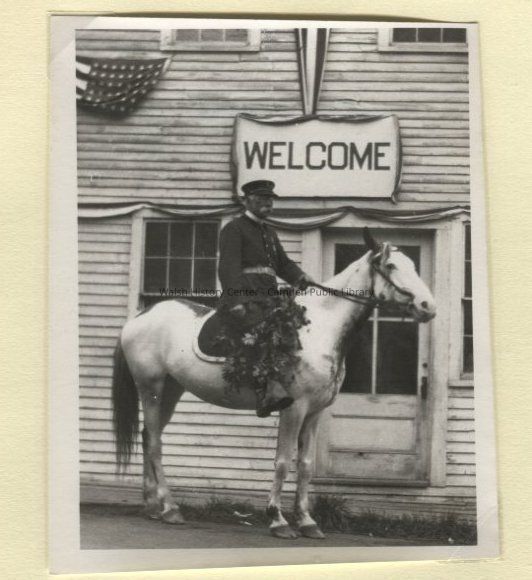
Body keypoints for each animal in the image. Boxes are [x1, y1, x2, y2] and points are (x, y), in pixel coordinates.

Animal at [111, 228, 436, 539]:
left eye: (413, 265)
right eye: (391, 265)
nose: (428, 306)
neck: (317, 328)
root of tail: (139, 318)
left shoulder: (315, 412)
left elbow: (305, 465)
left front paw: (306, 521)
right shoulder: (294, 408)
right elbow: (282, 462)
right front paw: (278, 520)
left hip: (171, 390)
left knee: (148, 436)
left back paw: (151, 506)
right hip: (151, 388)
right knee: (155, 442)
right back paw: (169, 507)